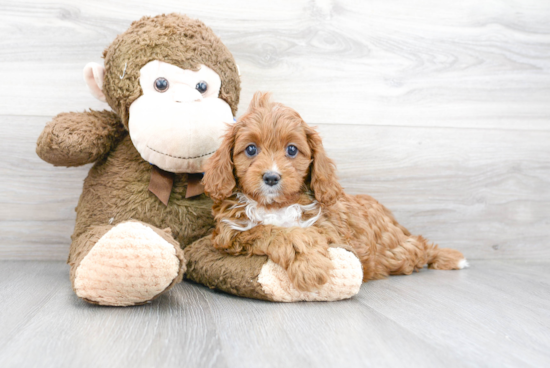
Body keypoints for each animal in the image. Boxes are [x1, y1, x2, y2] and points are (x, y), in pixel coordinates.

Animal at [205, 92, 468, 294]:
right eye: (251, 149)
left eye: (292, 150)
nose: (271, 177)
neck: (274, 205)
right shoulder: (230, 233)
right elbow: (274, 231)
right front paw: (310, 265)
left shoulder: (333, 230)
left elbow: (307, 234)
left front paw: (310, 267)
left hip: (397, 250)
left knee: (419, 246)